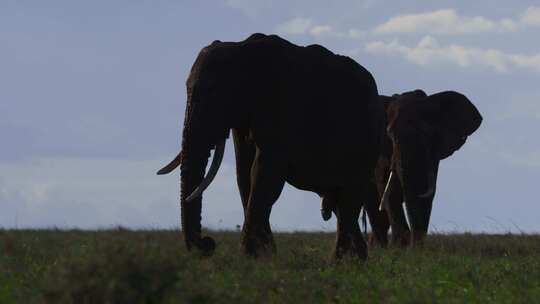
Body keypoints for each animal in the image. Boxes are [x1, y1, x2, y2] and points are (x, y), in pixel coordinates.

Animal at [155, 34, 384, 260]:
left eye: (213, 91)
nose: (208, 244)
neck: (241, 49)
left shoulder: (282, 106)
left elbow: (264, 173)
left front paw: (250, 254)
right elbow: (244, 172)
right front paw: (264, 254)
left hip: (367, 144)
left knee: (349, 200)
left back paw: (343, 261)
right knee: (339, 202)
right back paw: (356, 258)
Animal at [322, 89, 484, 246]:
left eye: (428, 134)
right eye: (390, 135)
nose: (415, 247)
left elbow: (427, 191)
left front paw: (415, 249)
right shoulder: (382, 152)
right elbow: (388, 191)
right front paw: (400, 247)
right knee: (374, 205)